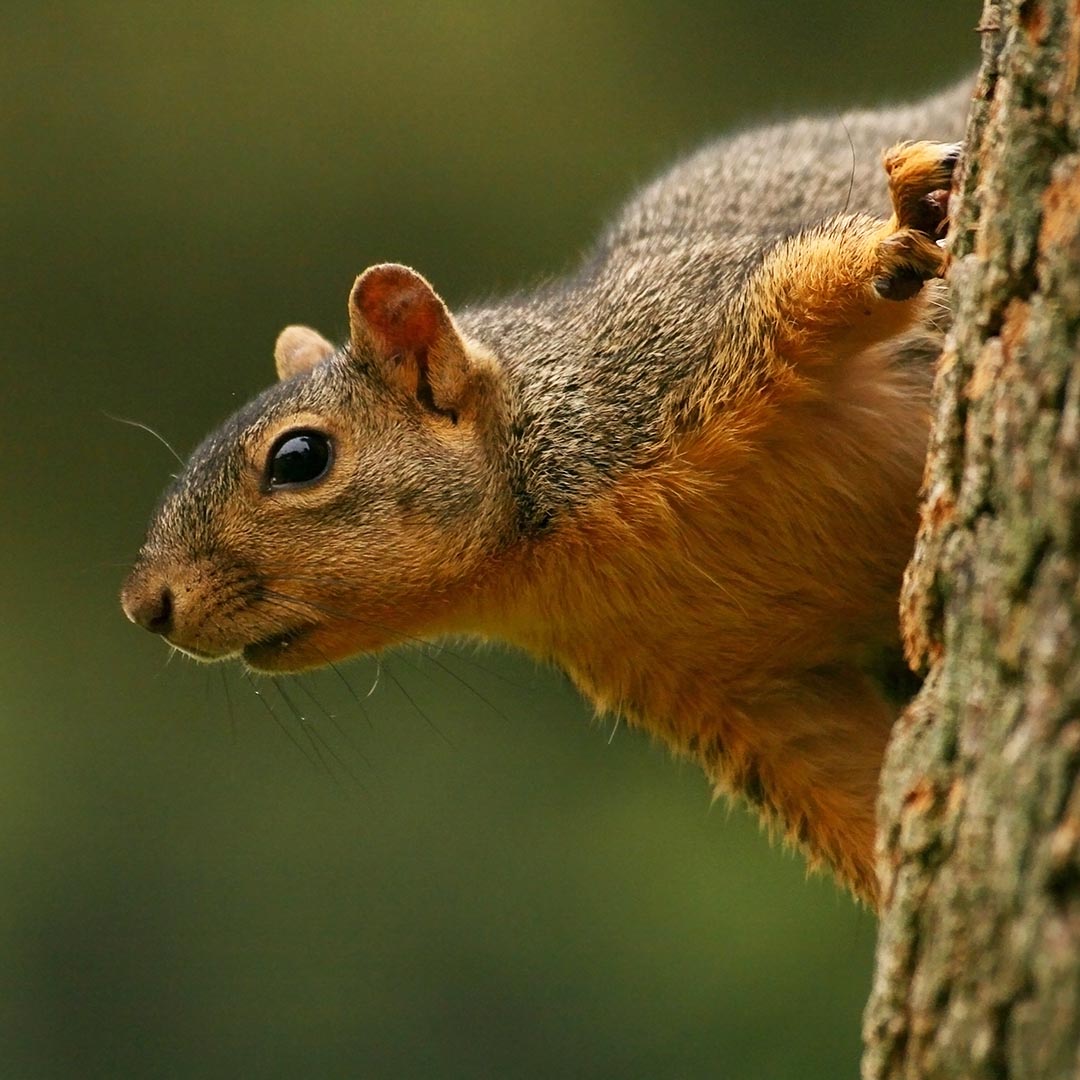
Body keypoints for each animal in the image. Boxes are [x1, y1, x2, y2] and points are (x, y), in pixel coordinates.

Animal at [121, 79, 971, 907]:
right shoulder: (739, 688)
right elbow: (840, 777)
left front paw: (898, 231)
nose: (144, 605)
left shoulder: (679, 341)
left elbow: (815, 289)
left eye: (299, 458)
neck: (551, 554)